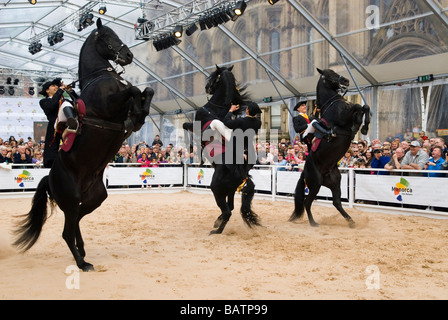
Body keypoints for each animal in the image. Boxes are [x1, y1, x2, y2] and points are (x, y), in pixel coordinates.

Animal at [13, 18, 154, 272]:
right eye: (106, 36)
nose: (128, 55)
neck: (102, 77)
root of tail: (49, 177)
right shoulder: (109, 105)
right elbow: (134, 90)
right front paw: (136, 113)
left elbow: (147, 90)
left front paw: (139, 114)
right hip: (70, 199)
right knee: (66, 232)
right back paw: (82, 262)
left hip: (95, 197)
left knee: (76, 220)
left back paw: (82, 250)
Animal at [290, 67, 372, 228]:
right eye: (328, 75)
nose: (346, 80)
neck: (333, 103)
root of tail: (305, 170)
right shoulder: (344, 117)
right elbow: (358, 107)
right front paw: (362, 126)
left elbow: (363, 107)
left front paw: (363, 126)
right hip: (315, 184)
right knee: (307, 202)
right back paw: (313, 223)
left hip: (335, 183)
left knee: (336, 202)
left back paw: (351, 221)